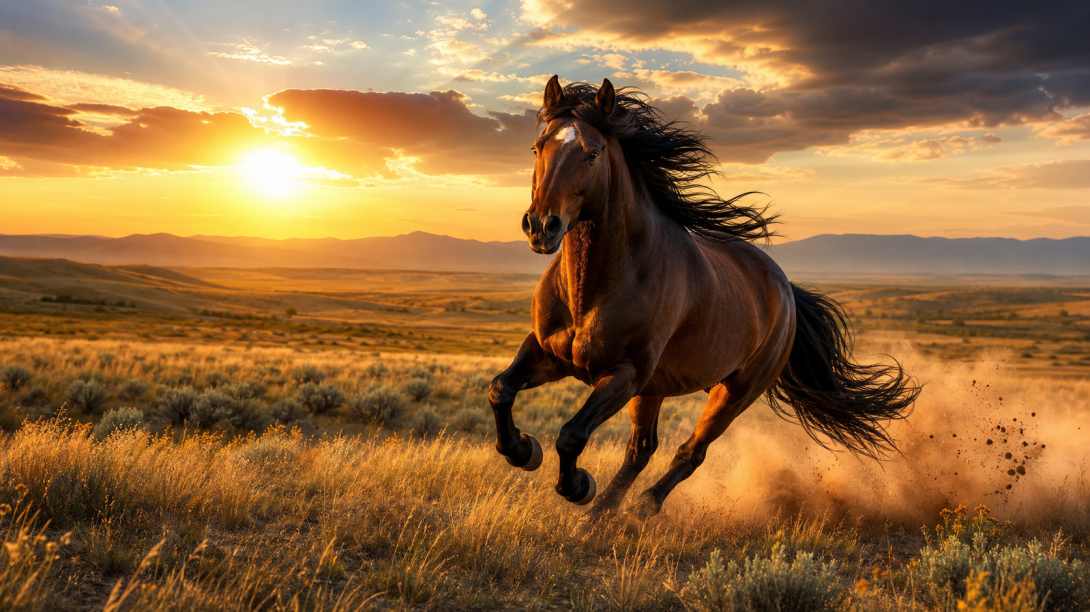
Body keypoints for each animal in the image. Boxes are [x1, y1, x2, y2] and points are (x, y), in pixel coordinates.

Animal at [487, 75, 919, 520]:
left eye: (592, 153)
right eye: (537, 147)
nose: (542, 226)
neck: (592, 290)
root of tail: (784, 289)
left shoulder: (624, 374)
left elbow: (572, 433)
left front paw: (577, 485)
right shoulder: (548, 352)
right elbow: (500, 389)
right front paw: (523, 450)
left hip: (732, 392)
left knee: (690, 452)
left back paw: (639, 507)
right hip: (656, 387)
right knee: (641, 449)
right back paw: (600, 516)